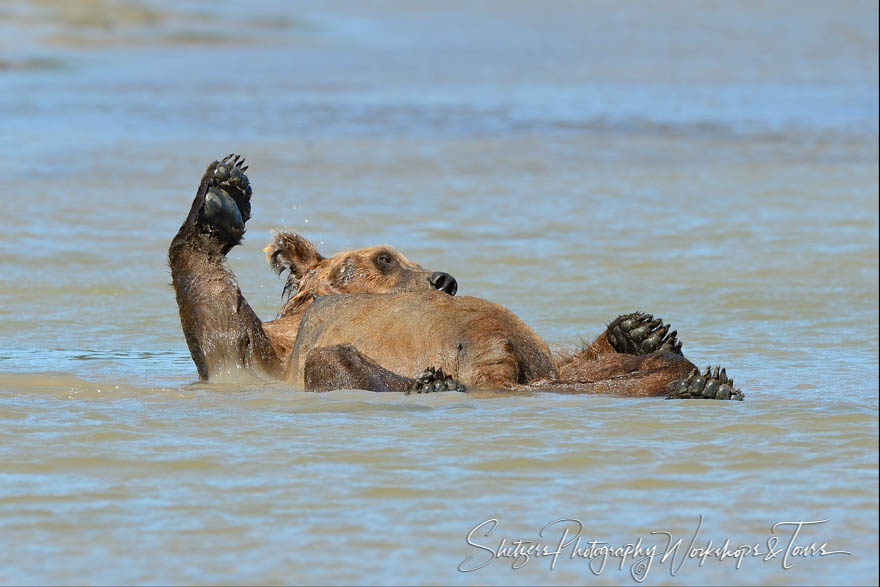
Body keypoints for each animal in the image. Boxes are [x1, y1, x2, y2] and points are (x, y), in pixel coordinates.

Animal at [170, 156, 744, 402]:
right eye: (386, 257)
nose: (444, 279)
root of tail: (499, 355)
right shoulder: (269, 353)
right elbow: (228, 333)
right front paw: (223, 195)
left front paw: (640, 329)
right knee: (332, 362)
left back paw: (673, 359)